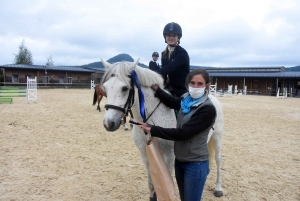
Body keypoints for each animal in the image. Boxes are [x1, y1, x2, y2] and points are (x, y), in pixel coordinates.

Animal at [101, 59, 225, 199]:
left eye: (125, 88)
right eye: (105, 88)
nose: (108, 123)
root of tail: (211, 98)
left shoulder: (169, 155)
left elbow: (167, 181)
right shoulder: (144, 154)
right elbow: (151, 183)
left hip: (217, 138)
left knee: (218, 160)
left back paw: (218, 188)